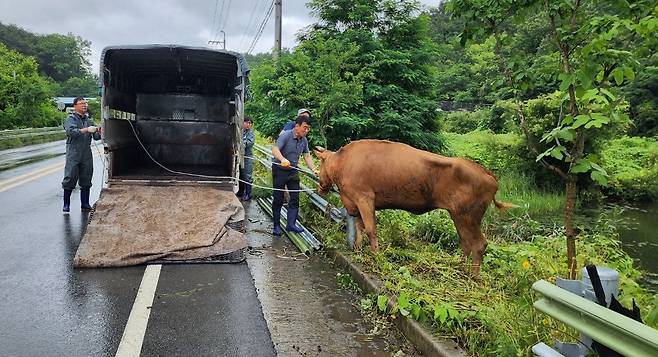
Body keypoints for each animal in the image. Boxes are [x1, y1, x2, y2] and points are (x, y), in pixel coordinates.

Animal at [312, 138, 512, 272]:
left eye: (320, 162)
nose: (319, 185)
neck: (343, 161)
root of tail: (486, 172)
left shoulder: (365, 199)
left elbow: (371, 229)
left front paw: (376, 255)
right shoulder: (356, 203)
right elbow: (361, 228)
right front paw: (358, 249)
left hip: (468, 216)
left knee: (478, 244)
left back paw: (472, 276)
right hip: (459, 217)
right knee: (466, 242)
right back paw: (459, 267)